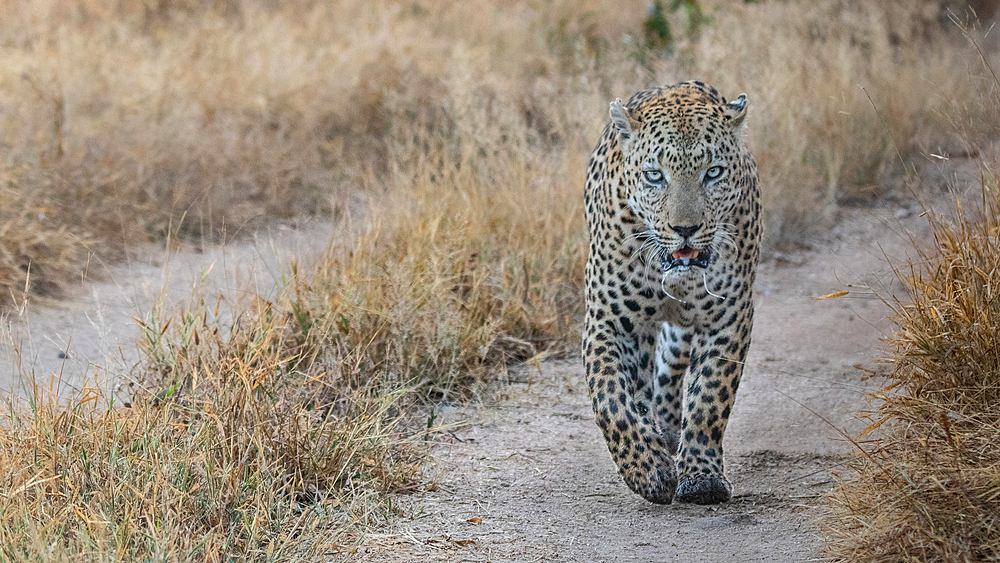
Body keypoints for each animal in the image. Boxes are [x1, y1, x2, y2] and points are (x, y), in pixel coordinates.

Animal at [584, 80, 760, 506]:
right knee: (641, 387)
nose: (685, 229)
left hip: (679, 335)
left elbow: (709, 398)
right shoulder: (607, 320)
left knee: (669, 376)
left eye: (713, 172)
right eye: (654, 175)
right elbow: (611, 400)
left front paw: (701, 477)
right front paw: (647, 470)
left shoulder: (729, 319)